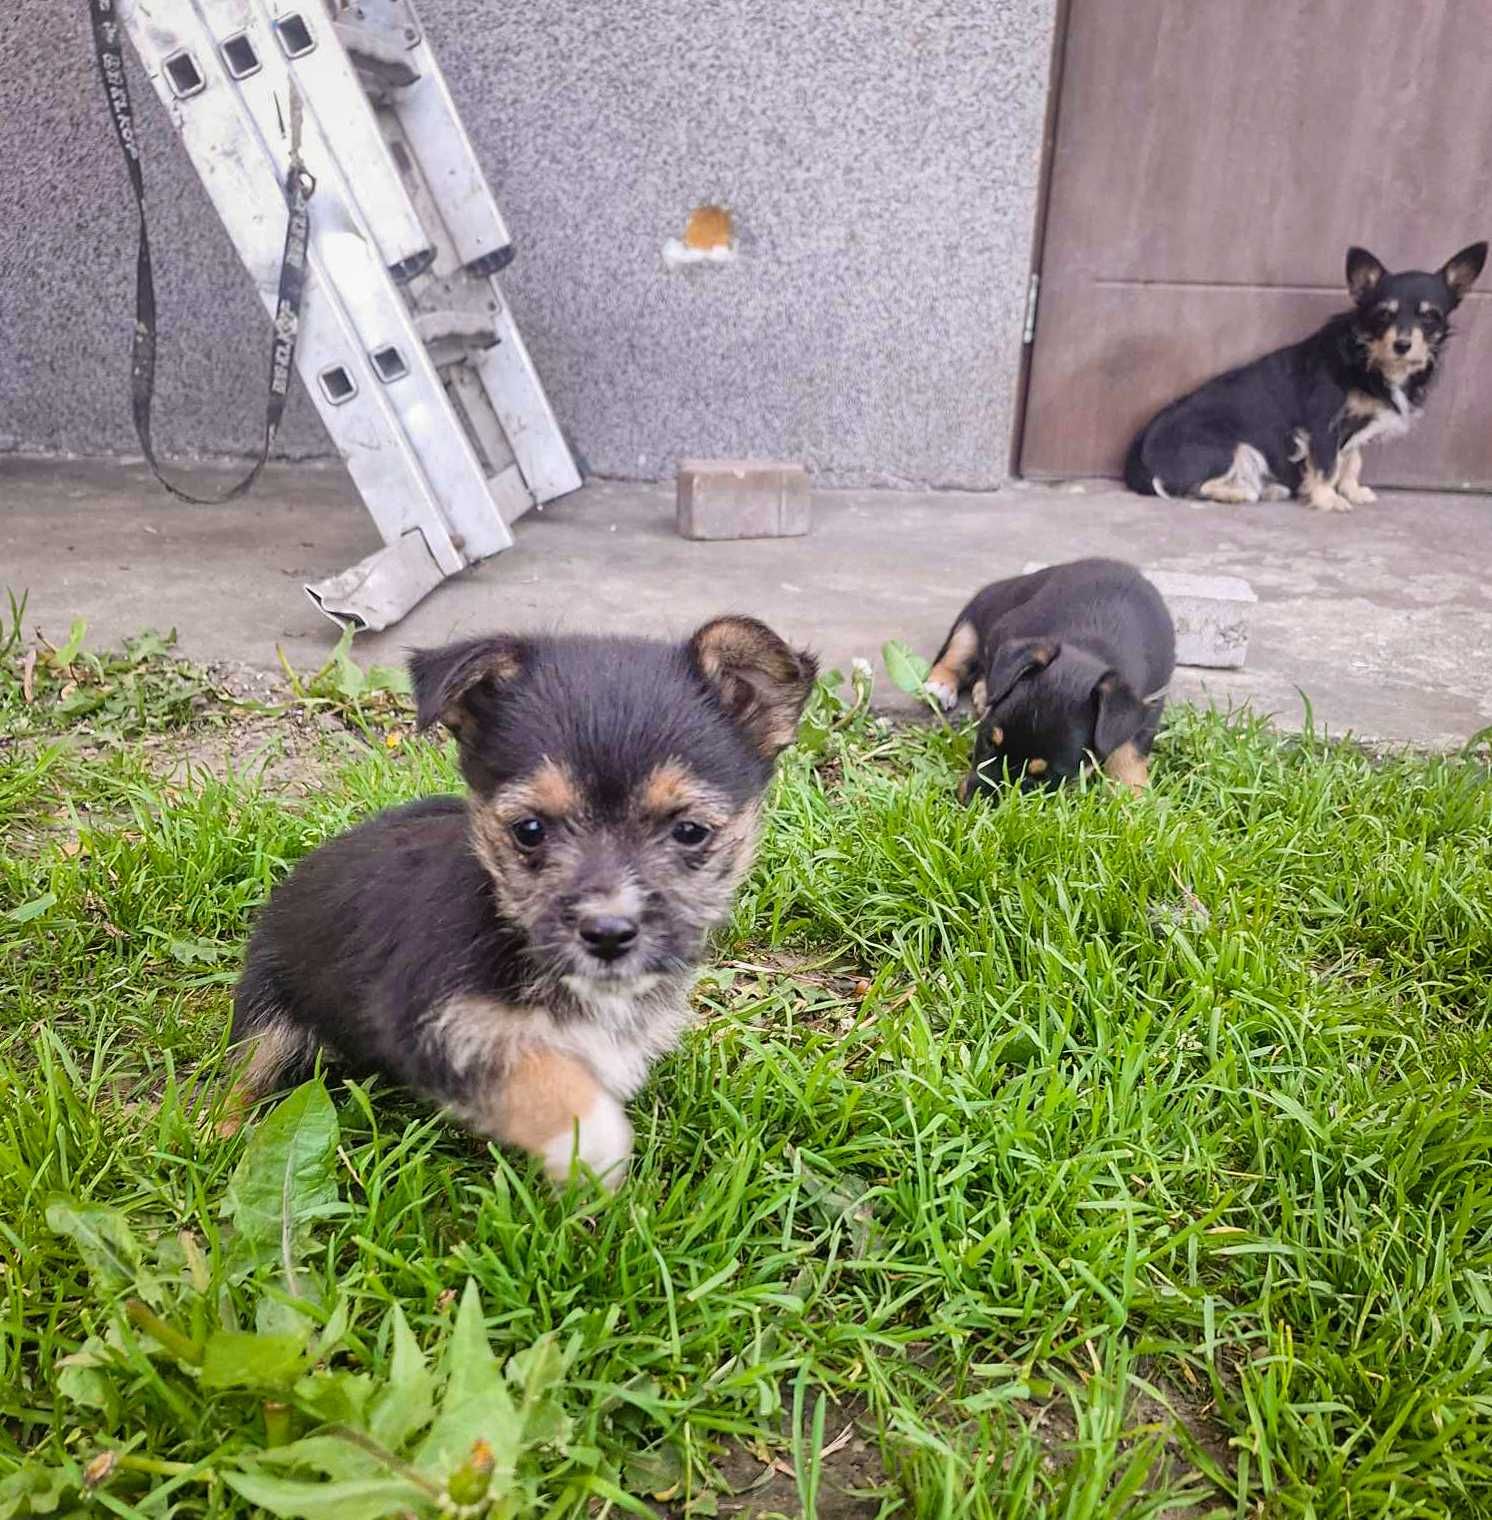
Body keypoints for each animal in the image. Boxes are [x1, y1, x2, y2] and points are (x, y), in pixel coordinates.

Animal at [229, 614, 820, 1185]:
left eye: (691, 831)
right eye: (530, 830)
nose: (608, 933)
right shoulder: (439, 1024)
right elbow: (541, 1076)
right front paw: (589, 1147)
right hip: (267, 1010)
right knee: (240, 1078)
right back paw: (222, 1135)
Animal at [923, 556, 1179, 796]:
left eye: (1042, 777)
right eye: (987, 741)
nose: (972, 802)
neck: (1091, 648)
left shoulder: (1151, 700)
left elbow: (1132, 749)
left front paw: (1132, 793)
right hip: (978, 613)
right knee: (957, 652)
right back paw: (941, 687)